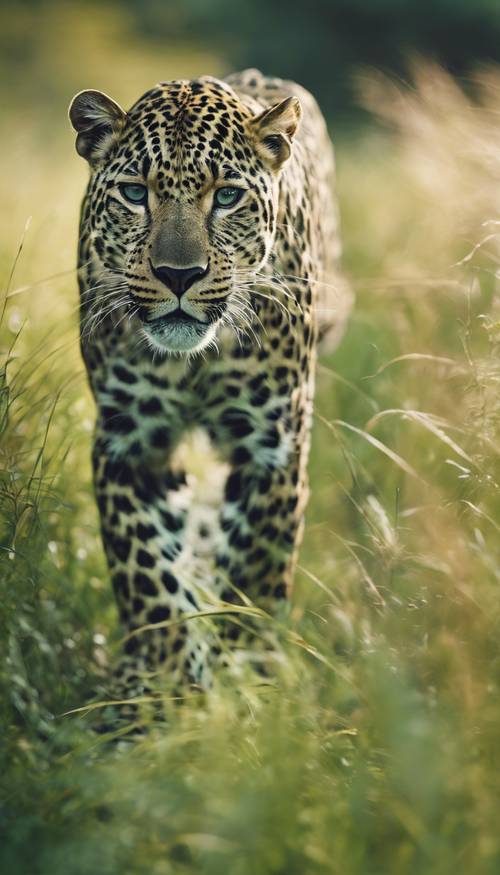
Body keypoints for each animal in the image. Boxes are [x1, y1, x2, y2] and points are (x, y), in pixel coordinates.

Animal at [68, 68, 352, 724]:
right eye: (135, 194)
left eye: (225, 197)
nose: (179, 275)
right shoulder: (128, 440)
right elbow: (145, 571)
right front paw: (160, 686)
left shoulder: (273, 442)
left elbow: (257, 567)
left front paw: (247, 679)